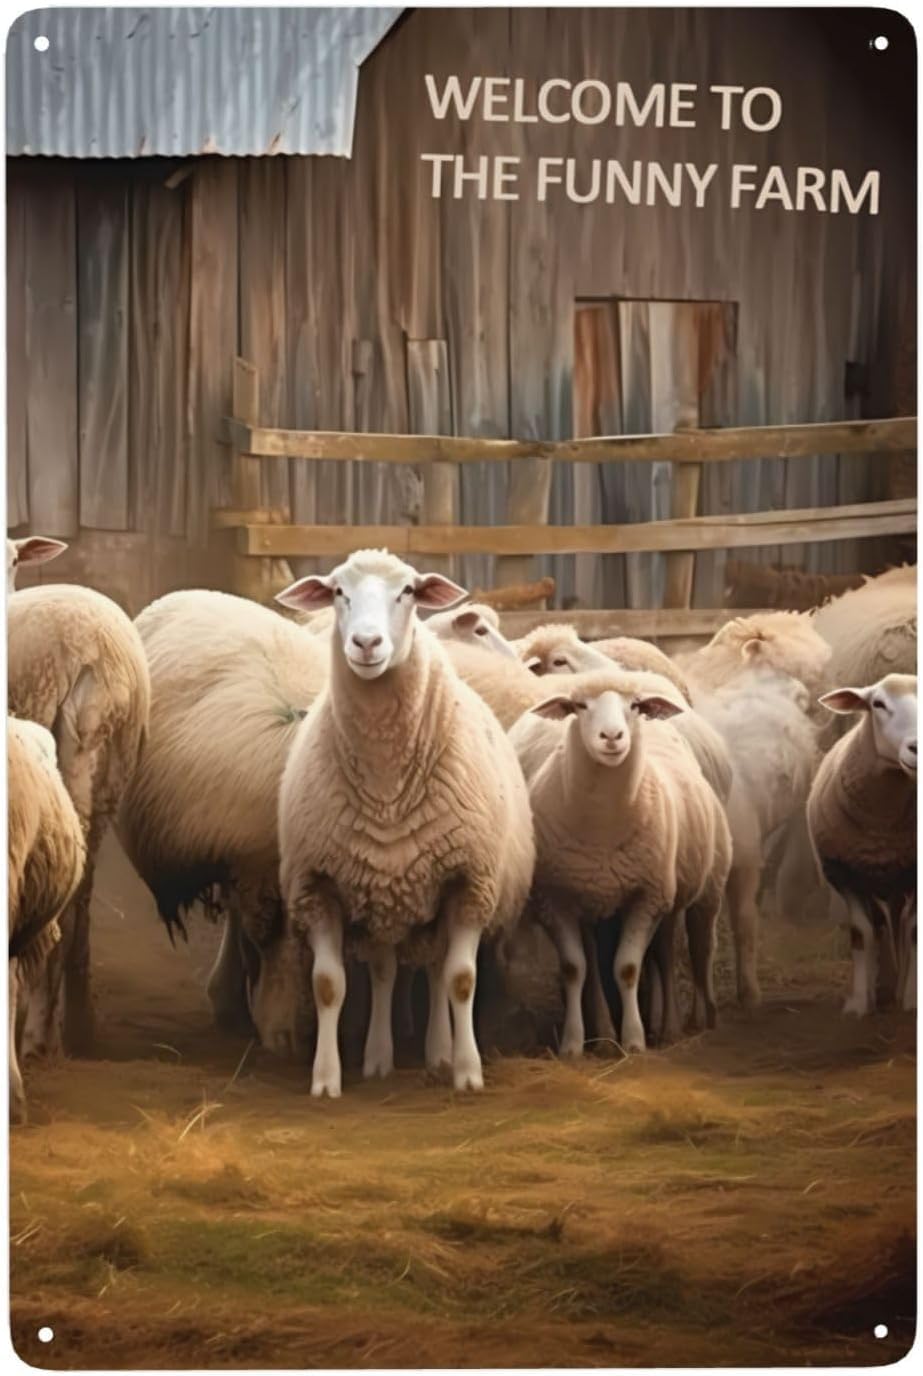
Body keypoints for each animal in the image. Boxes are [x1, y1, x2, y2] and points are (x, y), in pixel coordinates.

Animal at [251, 549, 535, 1097]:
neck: (386, 786)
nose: (366, 643)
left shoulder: (470, 884)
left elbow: (461, 979)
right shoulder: (317, 885)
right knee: (386, 972)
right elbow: (328, 985)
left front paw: (467, 1072)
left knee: (436, 969)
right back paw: (380, 1057)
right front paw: (326, 1079)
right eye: (338, 592)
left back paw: (439, 1053)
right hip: (382, 894)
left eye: (407, 591)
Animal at [509, 669, 732, 1054]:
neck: (602, 826)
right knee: (640, 958)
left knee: (693, 951)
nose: (612, 737)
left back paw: (693, 1022)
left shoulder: (647, 896)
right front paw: (576, 1044)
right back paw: (619, 1031)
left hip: (702, 889)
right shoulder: (557, 900)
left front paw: (634, 1041)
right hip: (611, 901)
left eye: (635, 705)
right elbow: (576, 969)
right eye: (579, 706)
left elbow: (627, 967)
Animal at [806, 673, 916, 1015]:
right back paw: (879, 989)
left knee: (899, 924)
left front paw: (911, 1000)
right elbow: (861, 933)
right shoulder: (844, 875)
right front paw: (857, 1004)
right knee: (880, 927)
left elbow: (913, 931)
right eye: (877, 704)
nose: (917, 747)